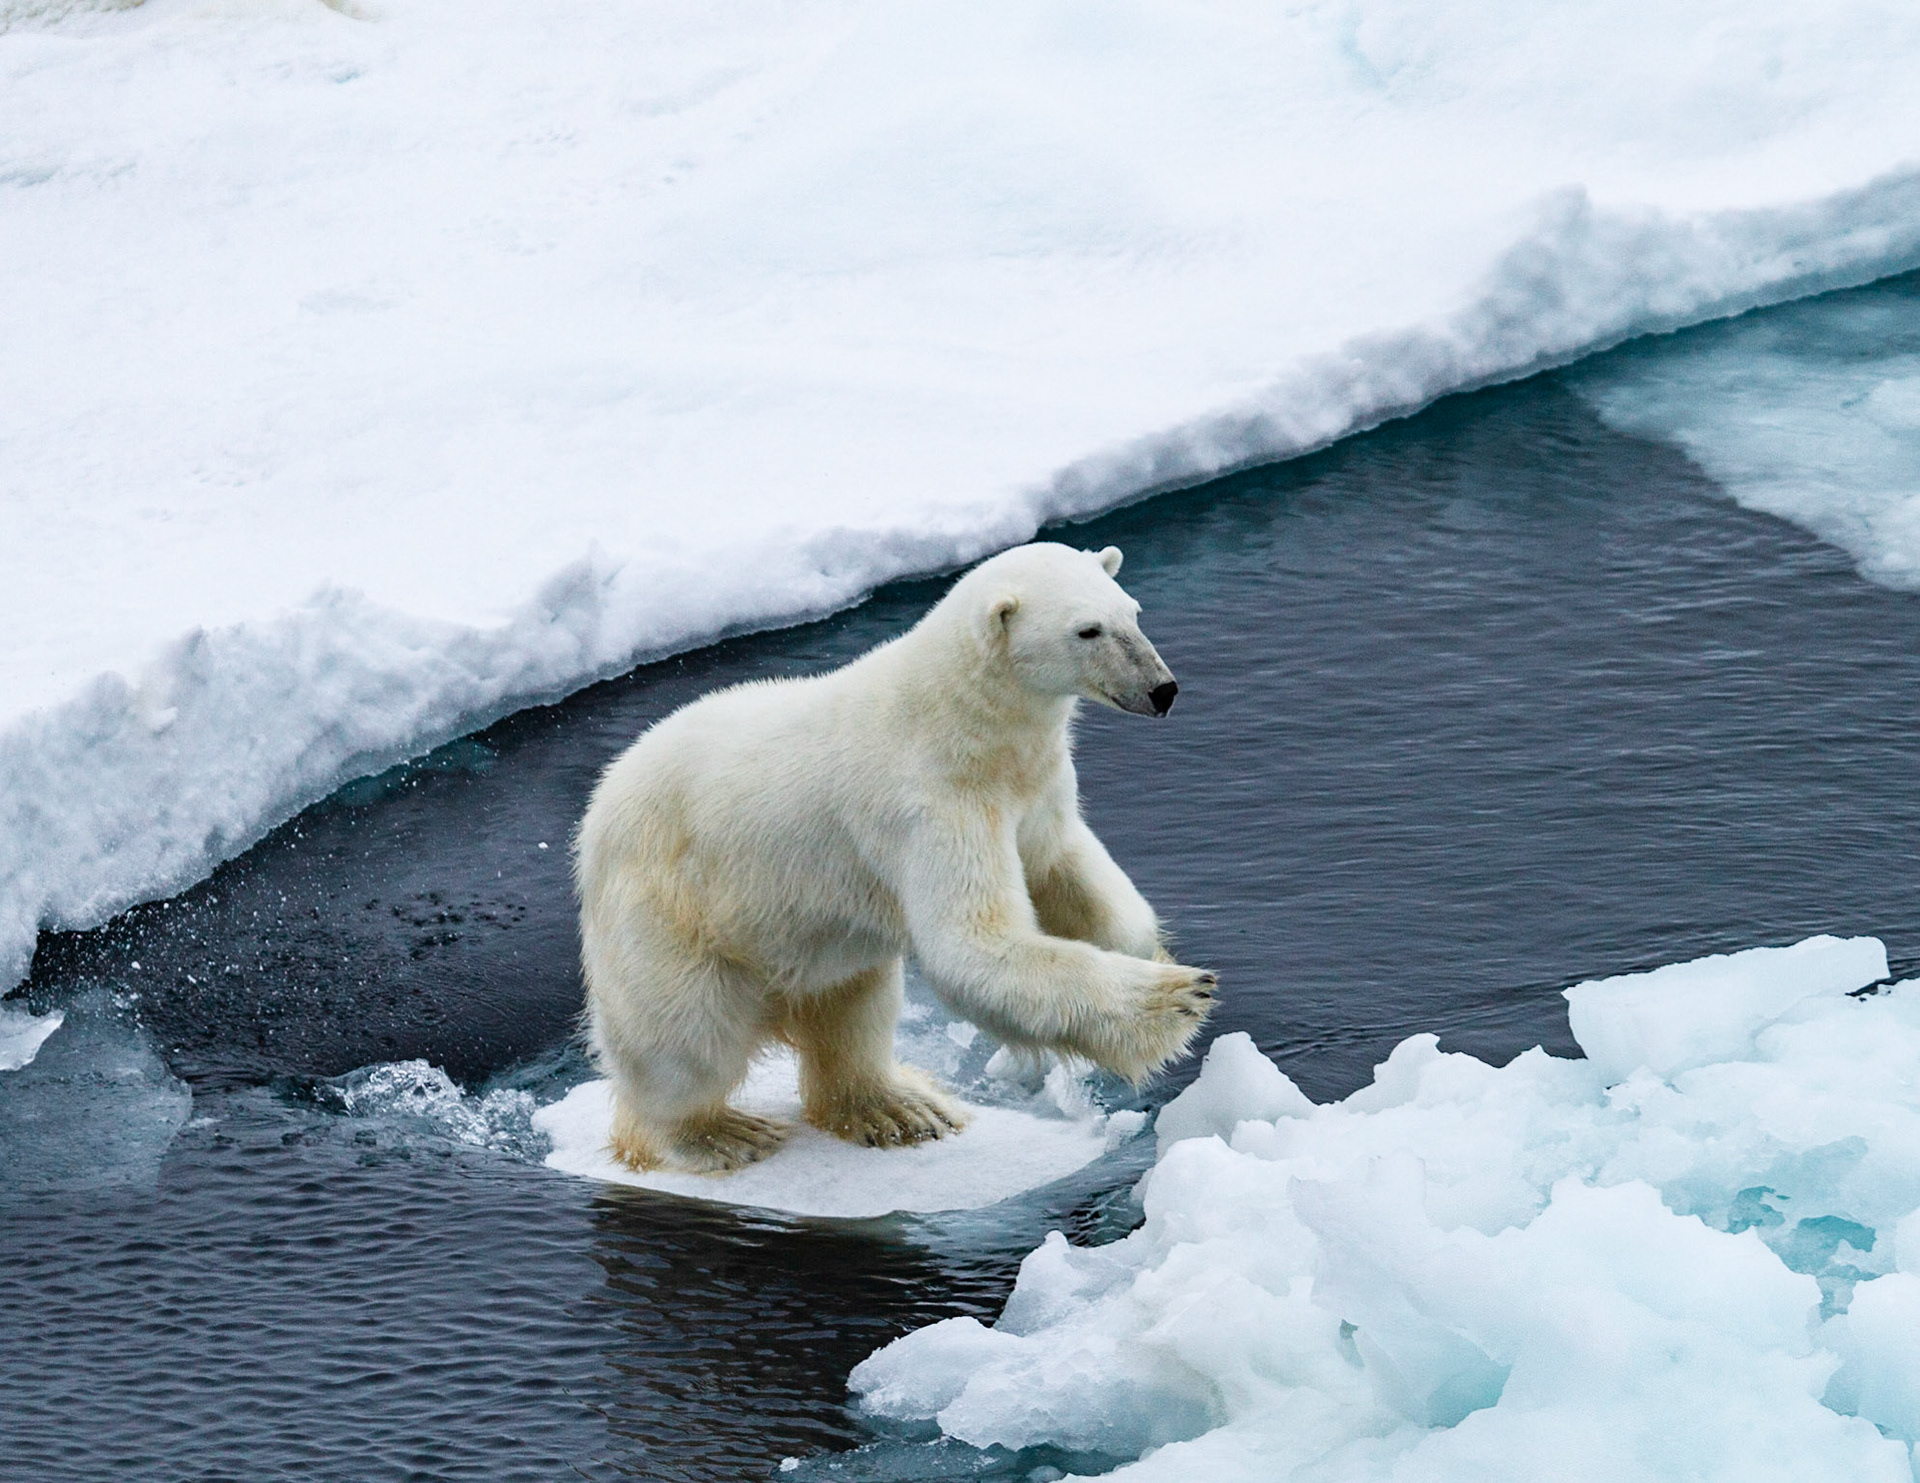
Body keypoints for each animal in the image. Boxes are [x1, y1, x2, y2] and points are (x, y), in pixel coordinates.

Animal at [573, 541, 1216, 1172]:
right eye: (1087, 630)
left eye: (1132, 612)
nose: (1163, 690)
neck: (962, 720)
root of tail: (598, 813)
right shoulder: (930, 802)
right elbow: (973, 943)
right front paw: (1180, 997)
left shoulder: (1033, 785)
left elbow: (1062, 867)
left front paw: (1144, 948)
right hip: (671, 910)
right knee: (687, 1036)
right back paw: (714, 1134)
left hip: (808, 942)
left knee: (854, 1007)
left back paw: (898, 1109)